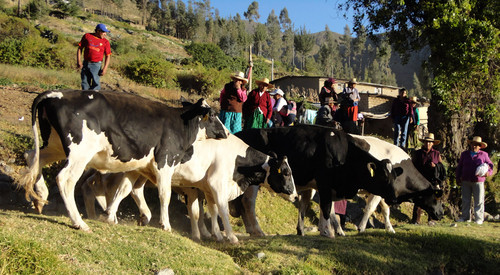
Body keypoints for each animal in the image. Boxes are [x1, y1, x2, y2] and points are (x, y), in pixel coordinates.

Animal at [18, 90, 228, 233]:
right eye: (214, 115)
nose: (226, 132)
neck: (180, 124)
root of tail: (56, 94)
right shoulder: (165, 162)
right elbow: (164, 194)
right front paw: (165, 224)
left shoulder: (137, 167)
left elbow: (125, 189)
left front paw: (117, 215)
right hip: (79, 153)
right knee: (65, 179)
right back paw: (79, 222)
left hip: (56, 146)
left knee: (33, 156)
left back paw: (40, 196)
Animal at [80, 135, 294, 245]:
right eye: (285, 172)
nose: (294, 193)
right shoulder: (216, 184)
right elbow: (221, 210)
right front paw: (230, 237)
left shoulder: (206, 188)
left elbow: (208, 211)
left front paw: (214, 234)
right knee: (106, 188)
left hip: (137, 171)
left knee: (127, 190)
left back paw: (116, 216)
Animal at [234, 125, 402, 237]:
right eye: (384, 177)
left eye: (394, 177)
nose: (394, 198)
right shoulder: (325, 183)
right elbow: (326, 207)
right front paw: (328, 232)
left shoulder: (320, 187)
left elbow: (307, 206)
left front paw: (305, 230)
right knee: (248, 202)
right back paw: (257, 230)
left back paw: (251, 230)